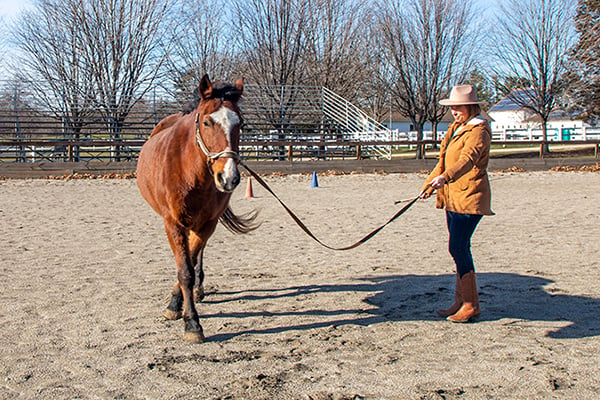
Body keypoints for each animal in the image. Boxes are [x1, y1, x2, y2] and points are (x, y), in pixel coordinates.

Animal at [136, 73, 258, 342]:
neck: (191, 172)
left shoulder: (207, 223)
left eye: (241, 124)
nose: (229, 178)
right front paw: (188, 319)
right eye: (206, 122)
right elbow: (185, 271)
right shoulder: (173, 223)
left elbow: (190, 264)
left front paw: (181, 306)